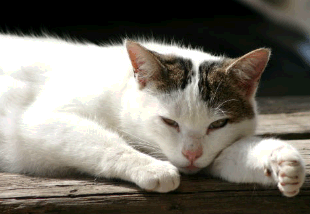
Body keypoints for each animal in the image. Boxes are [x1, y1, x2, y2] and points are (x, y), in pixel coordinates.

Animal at [0, 34, 306, 196]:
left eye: (218, 124)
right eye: (169, 122)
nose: (191, 154)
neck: (120, 87)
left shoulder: (213, 155)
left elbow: (232, 157)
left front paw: (280, 161)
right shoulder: (41, 119)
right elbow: (106, 144)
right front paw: (151, 168)